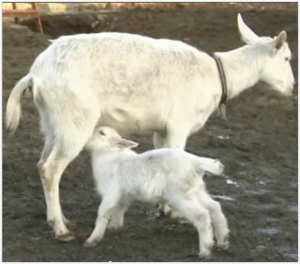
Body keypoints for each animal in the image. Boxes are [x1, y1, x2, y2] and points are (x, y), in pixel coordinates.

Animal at [5, 12, 296, 241]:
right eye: (287, 58)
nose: (292, 87)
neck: (216, 77)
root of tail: (34, 75)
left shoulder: (162, 128)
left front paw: (165, 208)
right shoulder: (180, 122)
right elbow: (177, 154)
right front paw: (177, 213)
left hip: (52, 120)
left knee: (42, 162)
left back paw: (59, 219)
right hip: (75, 117)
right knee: (51, 168)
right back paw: (60, 229)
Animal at [83, 127, 229, 258]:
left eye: (101, 133)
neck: (109, 155)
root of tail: (197, 162)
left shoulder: (111, 193)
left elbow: (103, 214)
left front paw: (92, 239)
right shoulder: (122, 196)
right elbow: (119, 210)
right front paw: (114, 228)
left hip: (179, 195)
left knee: (202, 216)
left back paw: (205, 250)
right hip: (195, 190)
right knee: (214, 207)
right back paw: (223, 241)